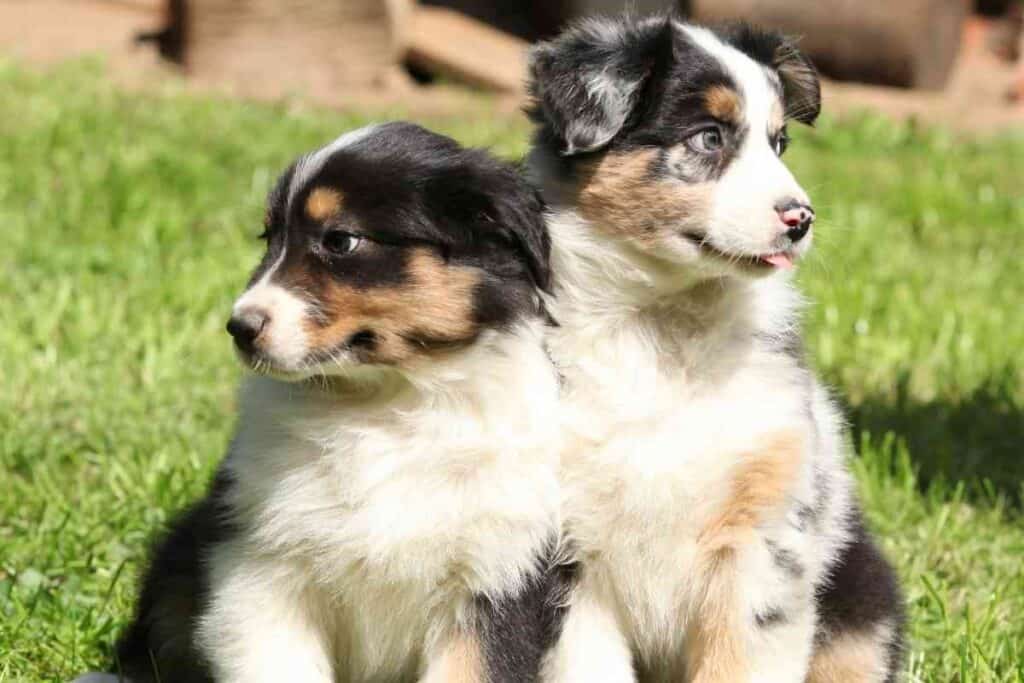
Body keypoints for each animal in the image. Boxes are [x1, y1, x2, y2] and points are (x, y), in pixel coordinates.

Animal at [77, 122, 561, 683]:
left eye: (340, 240)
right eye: (269, 237)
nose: (239, 328)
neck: (385, 405)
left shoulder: (498, 577)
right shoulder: (258, 564)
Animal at [528, 14, 905, 683]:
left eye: (779, 143)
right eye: (709, 138)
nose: (802, 218)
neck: (663, 326)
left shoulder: (762, 536)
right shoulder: (567, 560)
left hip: (862, 603)